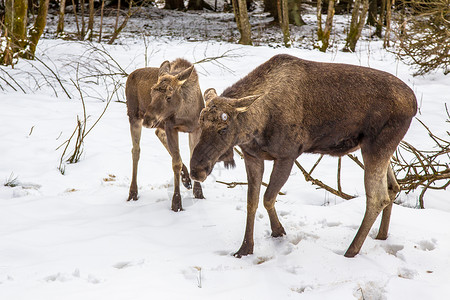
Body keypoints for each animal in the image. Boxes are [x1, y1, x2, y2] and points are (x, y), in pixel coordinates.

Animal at [125, 58, 207, 211]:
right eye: (151, 92)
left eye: (168, 96)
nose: (148, 119)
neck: (185, 114)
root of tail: (130, 75)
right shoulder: (171, 127)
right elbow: (175, 163)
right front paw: (177, 203)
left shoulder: (196, 128)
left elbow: (192, 157)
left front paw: (199, 193)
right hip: (133, 115)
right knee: (136, 151)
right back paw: (133, 193)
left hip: (156, 123)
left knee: (158, 134)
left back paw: (186, 179)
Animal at [190, 54, 418, 258]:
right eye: (200, 123)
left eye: (223, 128)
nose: (196, 170)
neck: (256, 126)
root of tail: (414, 103)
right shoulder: (252, 156)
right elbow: (251, 202)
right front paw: (245, 248)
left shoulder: (287, 155)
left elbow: (268, 198)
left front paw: (278, 231)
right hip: (379, 148)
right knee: (393, 187)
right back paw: (381, 236)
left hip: (376, 146)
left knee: (378, 197)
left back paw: (351, 251)